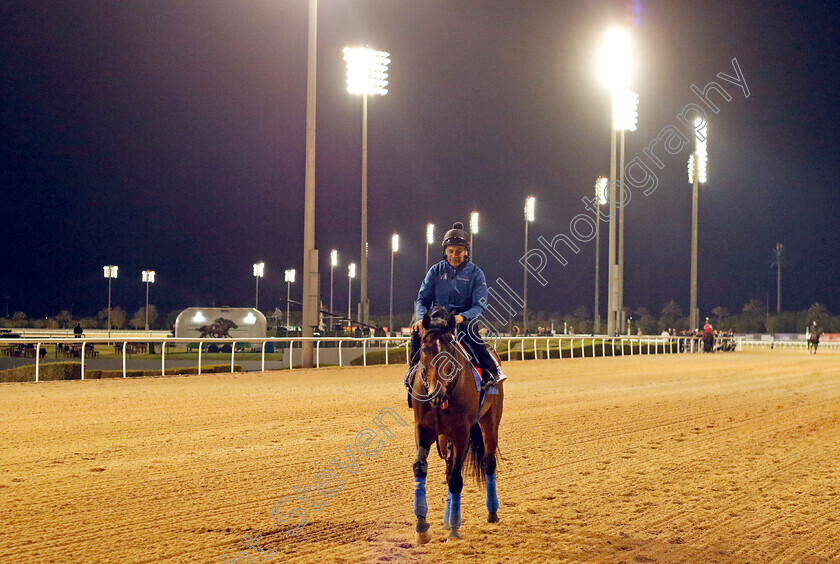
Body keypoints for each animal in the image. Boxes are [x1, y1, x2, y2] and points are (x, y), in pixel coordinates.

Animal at [408, 306, 502, 544]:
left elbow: (457, 479)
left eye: (449, 351)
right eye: (424, 349)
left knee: (488, 463)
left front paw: (454, 529)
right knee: (448, 468)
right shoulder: (423, 429)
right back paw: (446, 519)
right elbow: (420, 467)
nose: (436, 394)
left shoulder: (462, 432)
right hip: (444, 437)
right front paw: (422, 527)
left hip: (490, 423)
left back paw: (492, 513)